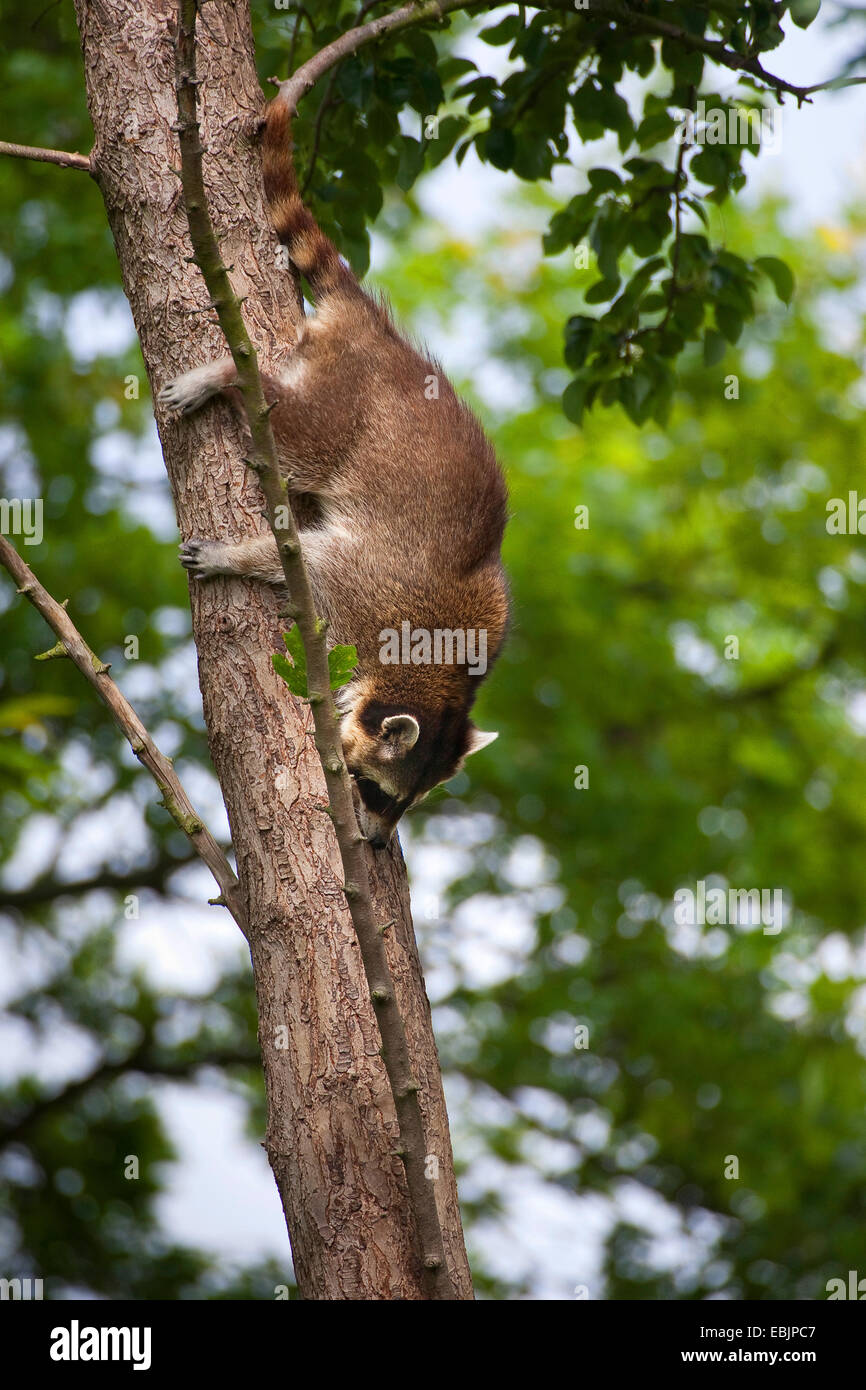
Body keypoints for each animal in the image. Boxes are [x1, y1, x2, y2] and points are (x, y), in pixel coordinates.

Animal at [158, 97, 508, 845]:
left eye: (405, 803)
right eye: (376, 791)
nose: (373, 840)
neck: (435, 677)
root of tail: (379, 335)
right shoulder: (363, 589)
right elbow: (306, 560)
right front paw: (238, 556)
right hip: (344, 403)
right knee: (291, 429)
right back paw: (225, 375)